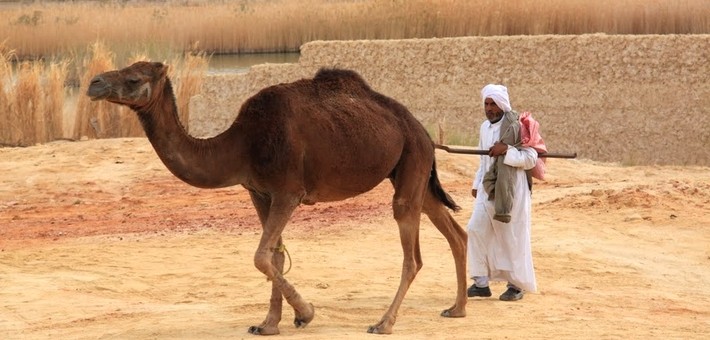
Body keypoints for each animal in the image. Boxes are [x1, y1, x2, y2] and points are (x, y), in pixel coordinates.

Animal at [86, 61, 470, 334]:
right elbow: (273, 254)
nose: (94, 83)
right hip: (412, 170)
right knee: (455, 232)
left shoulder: (289, 191)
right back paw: (457, 308)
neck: (241, 145)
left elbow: (260, 256)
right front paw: (269, 324)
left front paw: (306, 313)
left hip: (412, 159)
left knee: (412, 252)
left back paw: (384, 323)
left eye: (134, 78)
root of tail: (421, 129)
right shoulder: (259, 192)